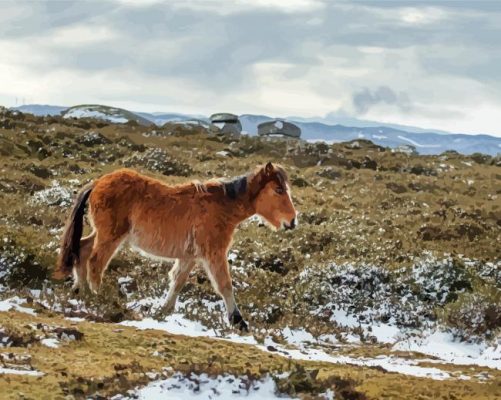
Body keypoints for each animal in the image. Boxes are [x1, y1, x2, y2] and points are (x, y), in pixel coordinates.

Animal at [54, 162, 296, 332]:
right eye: (278, 190)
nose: (293, 221)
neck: (222, 206)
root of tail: (97, 183)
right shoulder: (214, 254)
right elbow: (225, 285)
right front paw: (239, 322)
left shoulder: (190, 257)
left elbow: (177, 282)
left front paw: (162, 311)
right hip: (110, 237)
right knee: (95, 263)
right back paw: (102, 301)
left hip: (102, 234)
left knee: (82, 251)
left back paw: (81, 292)